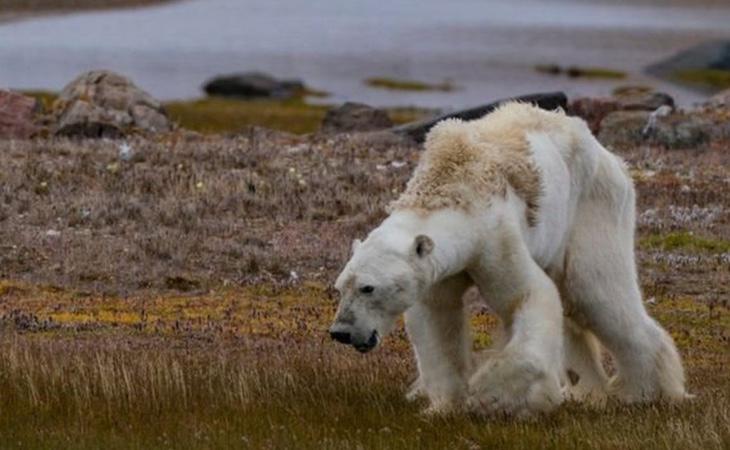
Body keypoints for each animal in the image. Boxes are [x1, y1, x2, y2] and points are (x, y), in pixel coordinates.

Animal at [330, 101, 688, 414]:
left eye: (368, 288)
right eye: (340, 286)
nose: (341, 332)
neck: (451, 185)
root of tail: (610, 156)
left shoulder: (494, 237)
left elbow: (528, 296)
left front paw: (492, 394)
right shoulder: (439, 270)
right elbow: (436, 319)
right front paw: (443, 406)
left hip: (592, 207)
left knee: (596, 292)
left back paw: (645, 392)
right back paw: (586, 391)